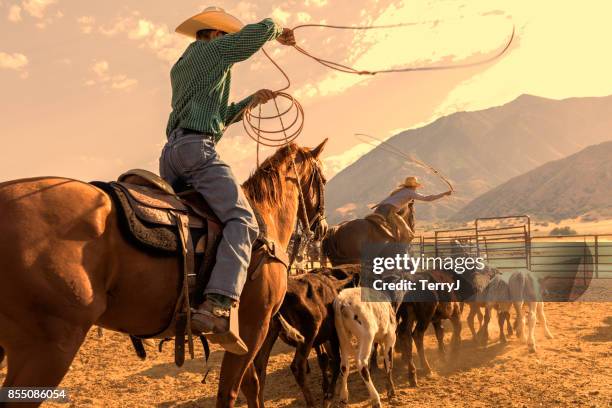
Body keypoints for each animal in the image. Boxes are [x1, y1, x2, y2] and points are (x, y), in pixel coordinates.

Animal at [0, 139, 330, 404]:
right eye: (324, 179)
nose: (323, 228)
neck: (265, 222)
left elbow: (250, 384)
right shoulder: (255, 323)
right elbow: (233, 389)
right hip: (50, 347)